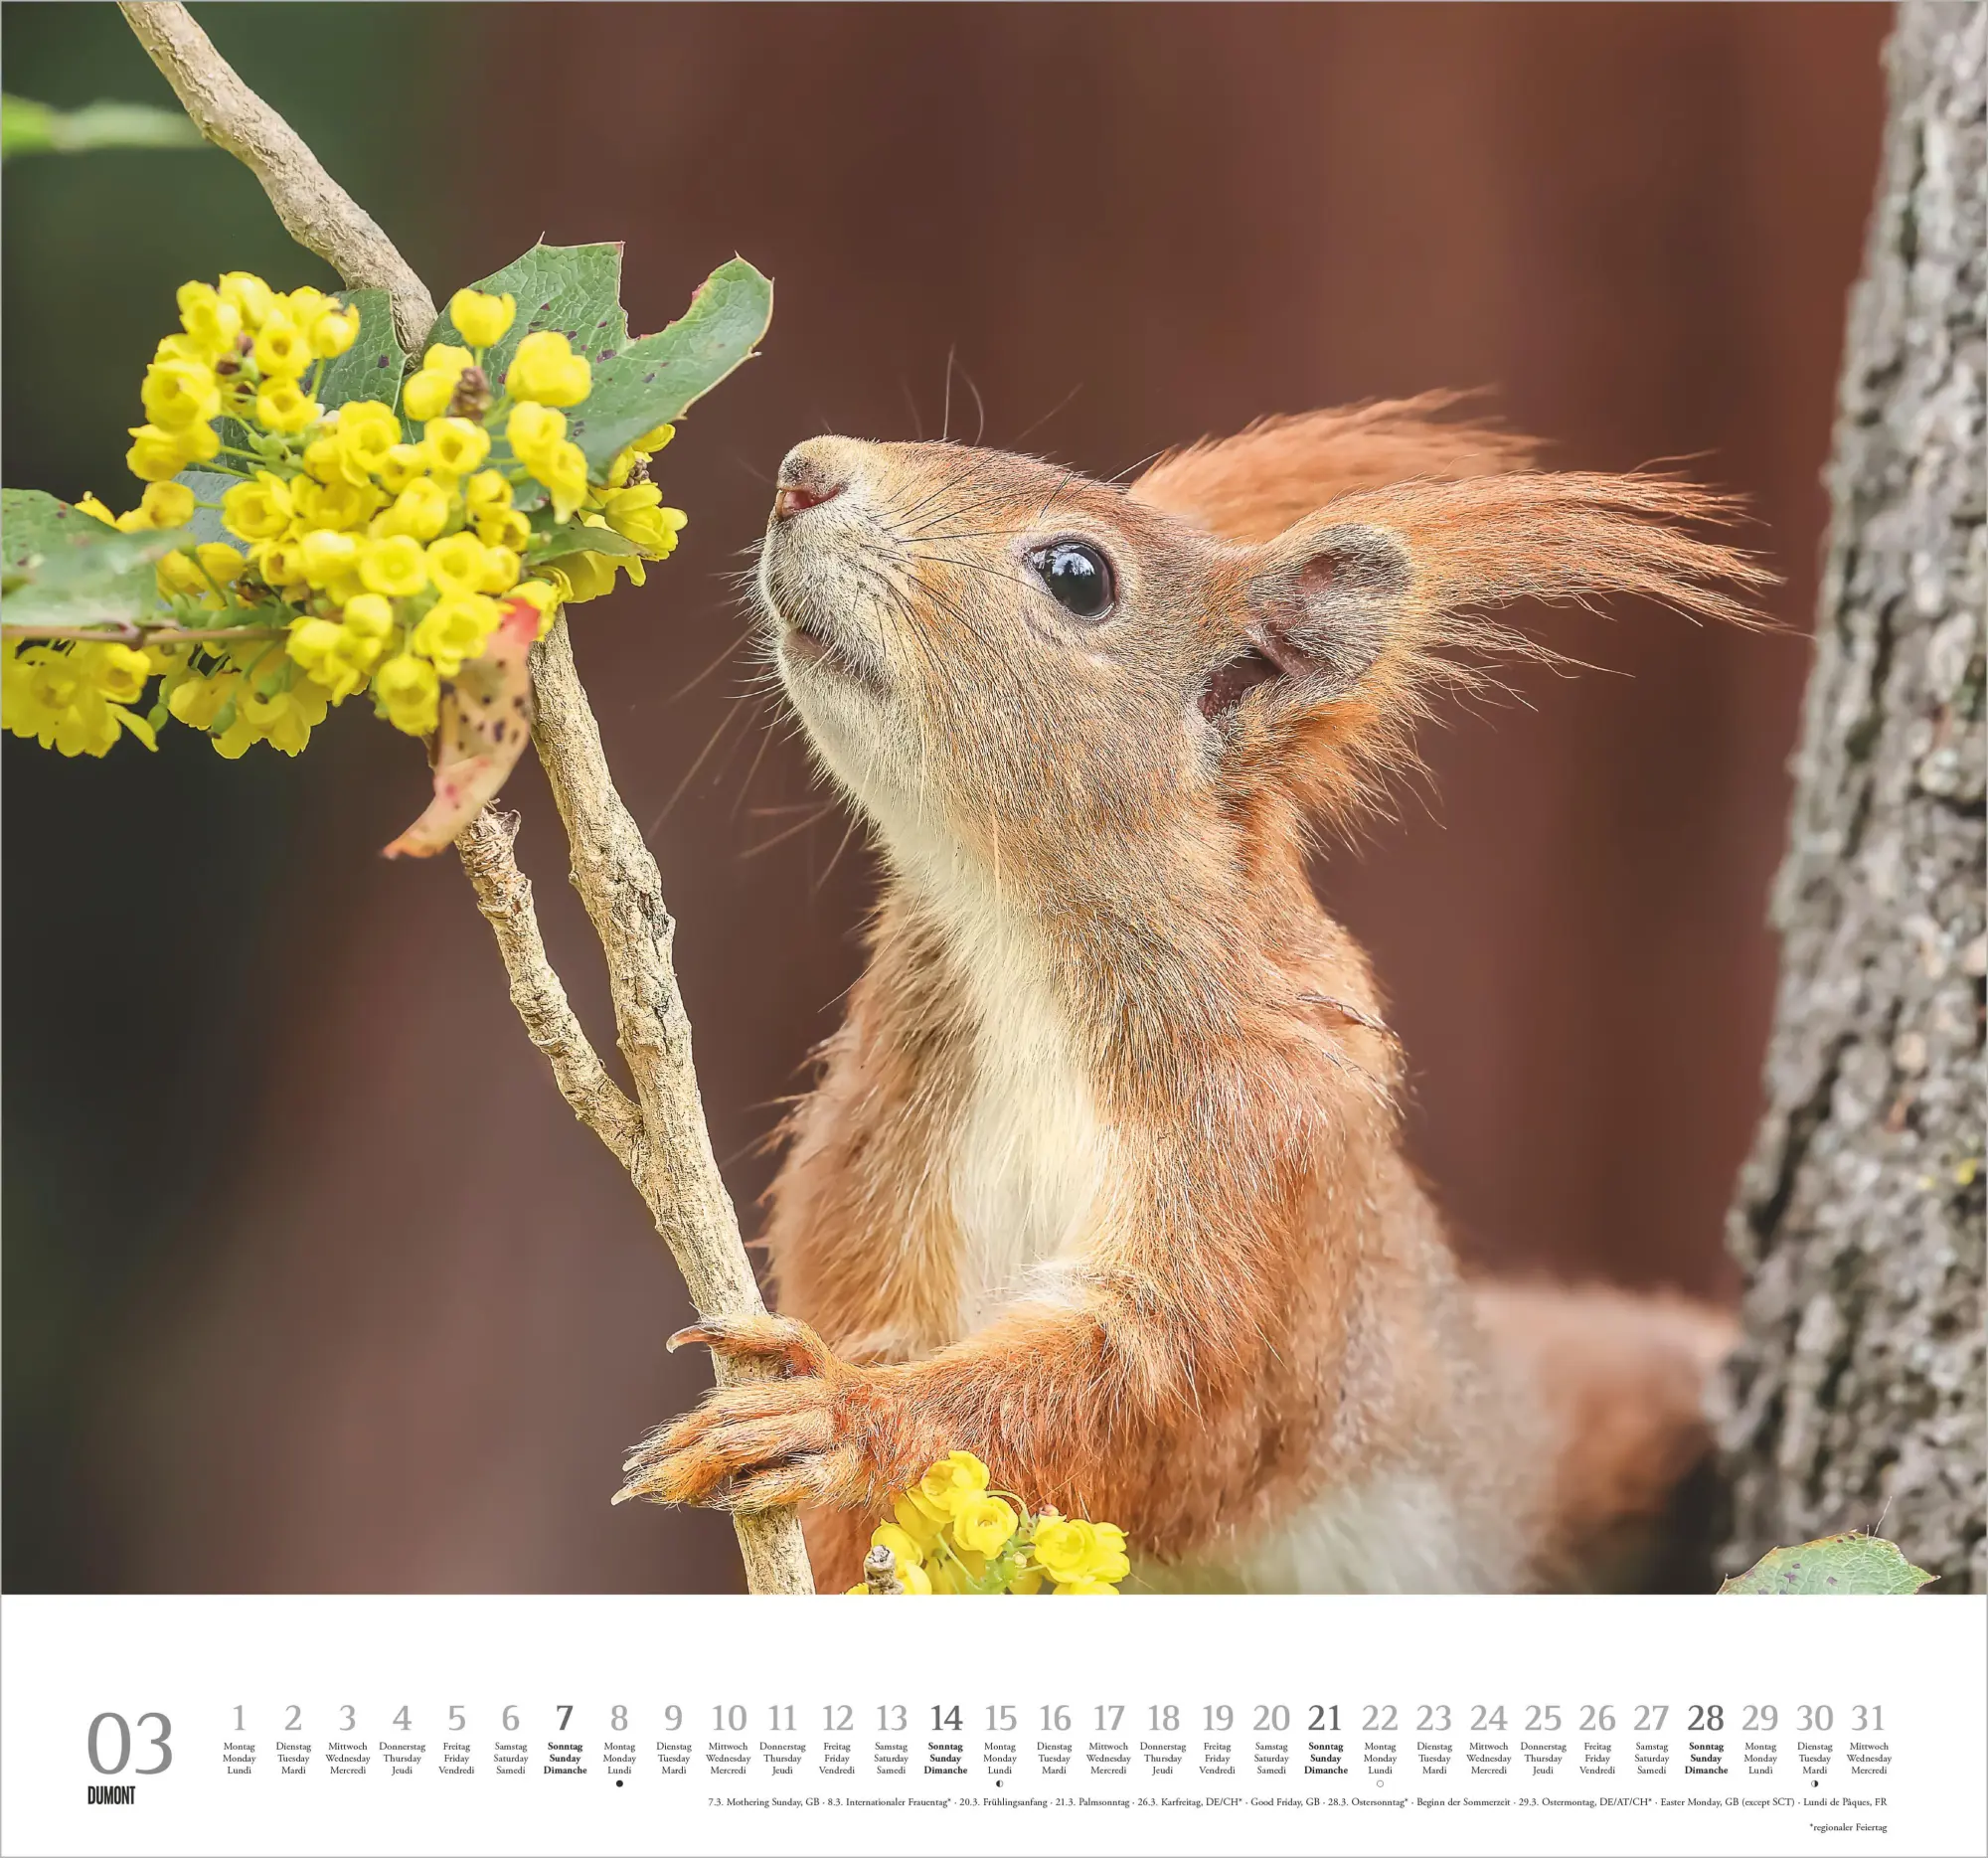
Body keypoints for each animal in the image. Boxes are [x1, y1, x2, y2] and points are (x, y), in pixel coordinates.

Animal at [617, 394, 1770, 1593]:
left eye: (1078, 575)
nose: (805, 474)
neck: (1017, 944)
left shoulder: (1272, 1150)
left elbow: (1162, 1391)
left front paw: (839, 1418)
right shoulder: (877, 1138)